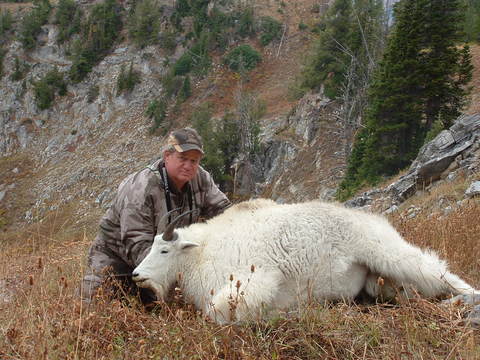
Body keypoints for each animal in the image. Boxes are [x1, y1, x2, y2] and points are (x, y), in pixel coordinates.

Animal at [130, 200, 476, 324]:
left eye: (164, 251)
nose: (136, 275)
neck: (201, 251)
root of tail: (371, 220)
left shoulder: (256, 277)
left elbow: (219, 312)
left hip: (388, 253)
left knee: (439, 272)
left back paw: (463, 300)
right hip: (381, 283)